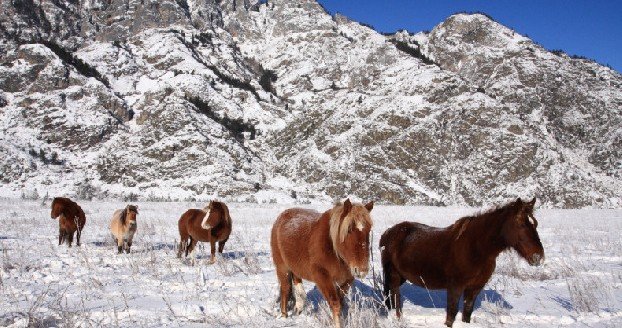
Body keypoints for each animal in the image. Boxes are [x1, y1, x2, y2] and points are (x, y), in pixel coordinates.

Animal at [380, 196, 544, 326]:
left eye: (535, 224)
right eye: (521, 224)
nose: (538, 257)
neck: (476, 249)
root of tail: (389, 232)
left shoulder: (474, 288)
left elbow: (466, 313)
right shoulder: (455, 287)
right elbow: (451, 315)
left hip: (401, 276)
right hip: (393, 275)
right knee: (395, 298)